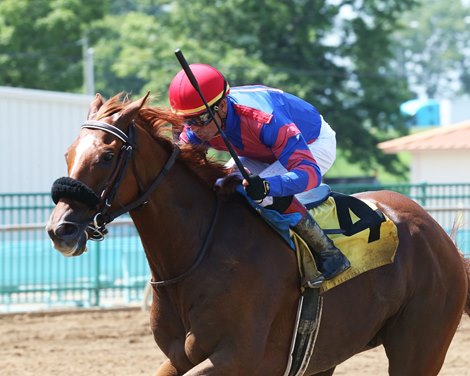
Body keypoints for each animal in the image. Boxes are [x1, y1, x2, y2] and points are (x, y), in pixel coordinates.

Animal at [46, 92, 470, 376]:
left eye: (106, 156)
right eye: (68, 154)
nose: (59, 229)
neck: (199, 252)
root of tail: (435, 231)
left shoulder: (239, 358)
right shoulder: (178, 357)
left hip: (420, 347)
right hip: (326, 353)